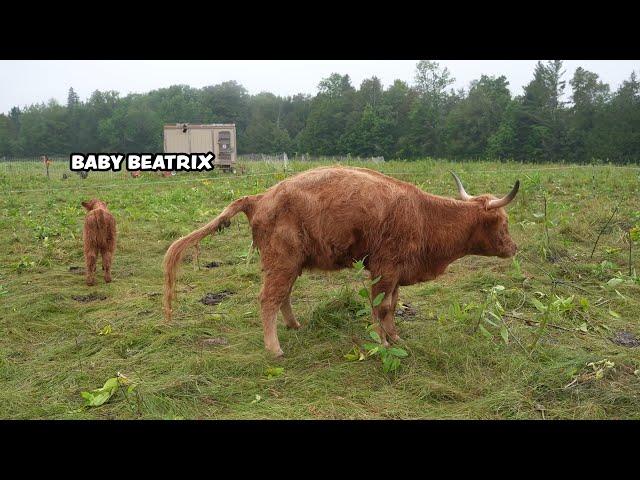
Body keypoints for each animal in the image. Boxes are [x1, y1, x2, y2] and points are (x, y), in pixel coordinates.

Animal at [162, 165, 516, 356]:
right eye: (503, 221)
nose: (514, 247)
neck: (423, 213)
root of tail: (261, 198)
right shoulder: (384, 269)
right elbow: (381, 307)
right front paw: (383, 342)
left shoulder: (395, 272)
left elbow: (392, 304)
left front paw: (396, 337)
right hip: (282, 262)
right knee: (268, 299)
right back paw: (274, 349)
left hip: (289, 265)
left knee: (282, 296)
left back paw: (294, 325)